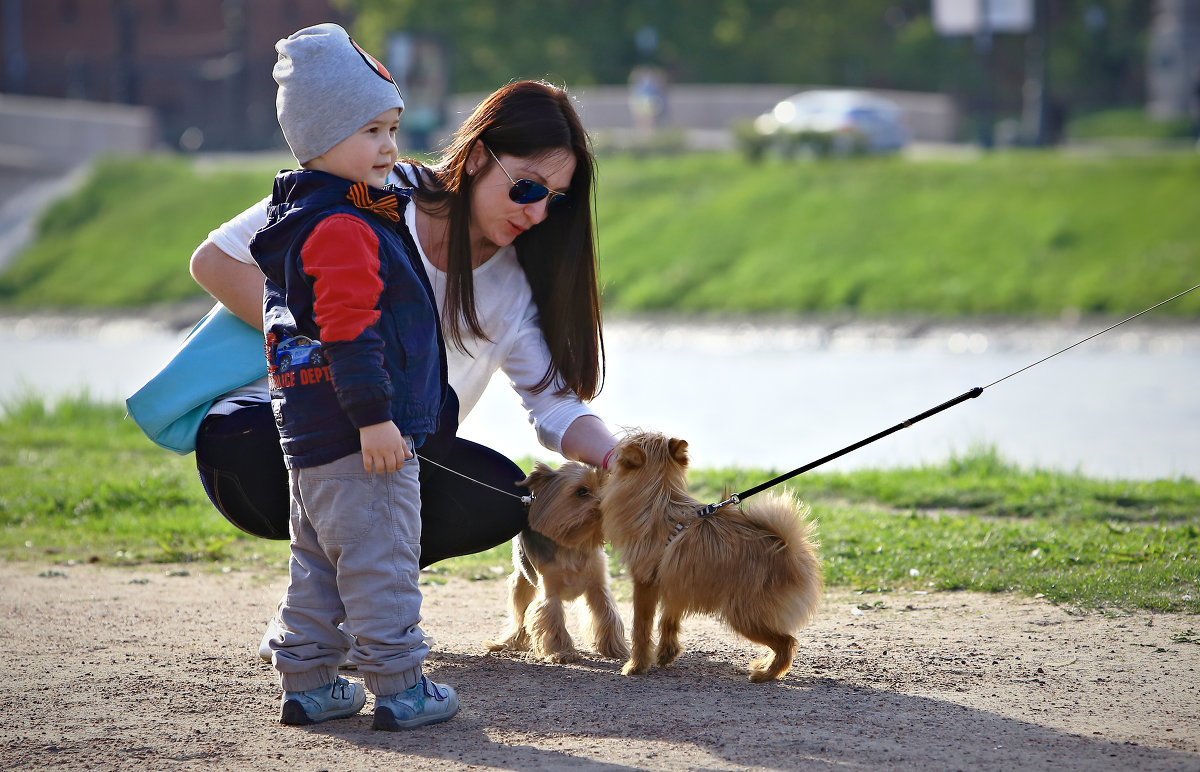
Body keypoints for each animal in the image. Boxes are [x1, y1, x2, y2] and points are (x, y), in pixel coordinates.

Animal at [480, 458, 628, 662]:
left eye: (605, 486)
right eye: (581, 491)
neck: (573, 543)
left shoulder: (598, 586)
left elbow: (607, 613)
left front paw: (616, 648)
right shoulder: (550, 591)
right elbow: (552, 618)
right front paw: (561, 653)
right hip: (521, 580)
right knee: (519, 614)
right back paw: (507, 642)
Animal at [604, 434, 820, 681]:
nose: (611, 452)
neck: (660, 499)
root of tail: (790, 550)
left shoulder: (644, 582)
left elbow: (641, 627)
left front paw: (636, 665)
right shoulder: (676, 582)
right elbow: (669, 619)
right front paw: (667, 652)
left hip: (743, 616)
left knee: (787, 642)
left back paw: (767, 674)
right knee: (784, 641)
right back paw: (764, 665)